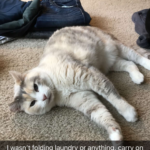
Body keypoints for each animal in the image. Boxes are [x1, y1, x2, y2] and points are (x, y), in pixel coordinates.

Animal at [9, 26, 150, 143]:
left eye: (35, 86)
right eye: (32, 103)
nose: (44, 97)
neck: (57, 90)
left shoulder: (90, 76)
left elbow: (113, 97)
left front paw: (129, 113)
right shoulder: (85, 99)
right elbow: (103, 115)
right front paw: (115, 135)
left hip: (117, 47)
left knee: (136, 57)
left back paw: (147, 65)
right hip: (112, 64)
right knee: (129, 64)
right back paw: (138, 77)